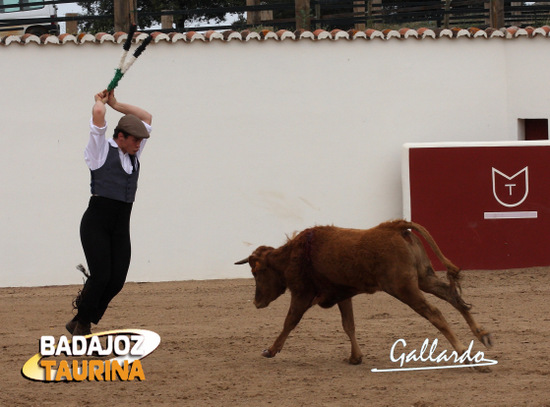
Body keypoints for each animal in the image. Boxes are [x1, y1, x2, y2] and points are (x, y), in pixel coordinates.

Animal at [235, 222, 494, 364]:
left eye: (256, 273)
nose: (256, 302)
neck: (291, 255)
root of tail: (394, 226)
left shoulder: (302, 294)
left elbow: (289, 322)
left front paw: (271, 350)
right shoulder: (343, 294)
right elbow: (348, 325)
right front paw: (355, 357)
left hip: (404, 288)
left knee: (435, 313)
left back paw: (466, 355)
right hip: (424, 278)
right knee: (454, 297)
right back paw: (482, 335)